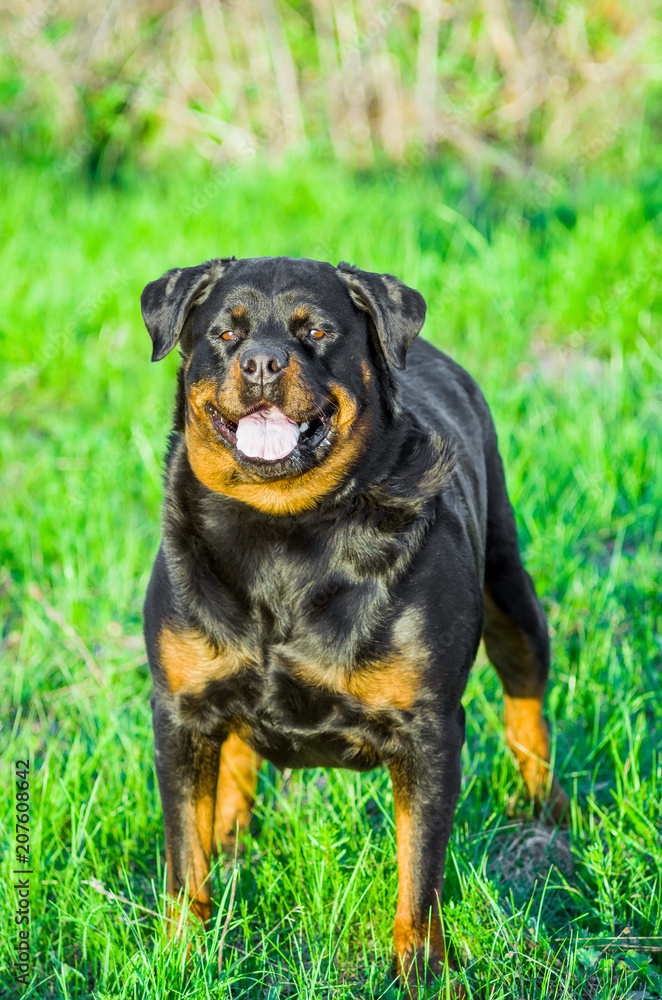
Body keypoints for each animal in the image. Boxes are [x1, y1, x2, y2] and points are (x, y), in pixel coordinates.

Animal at [141, 254, 572, 988]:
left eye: (316, 330)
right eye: (225, 333)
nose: (261, 362)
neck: (284, 536)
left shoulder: (427, 729)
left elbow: (419, 869)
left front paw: (421, 970)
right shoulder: (181, 712)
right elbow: (184, 856)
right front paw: (185, 956)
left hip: (511, 590)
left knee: (526, 700)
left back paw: (545, 805)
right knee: (234, 755)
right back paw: (231, 831)